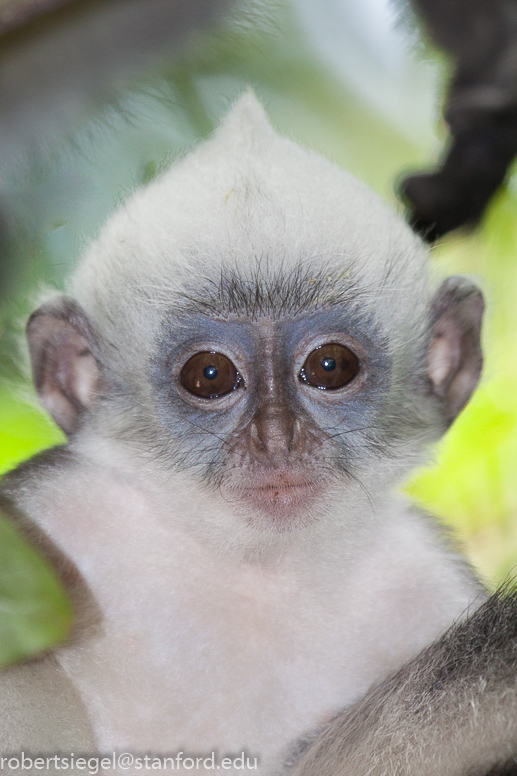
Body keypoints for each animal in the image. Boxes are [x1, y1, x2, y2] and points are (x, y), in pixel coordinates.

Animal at [0, 91, 513, 775]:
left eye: (330, 366)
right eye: (210, 375)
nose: (276, 438)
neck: (254, 572)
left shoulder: (428, 582)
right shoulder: (53, 510)